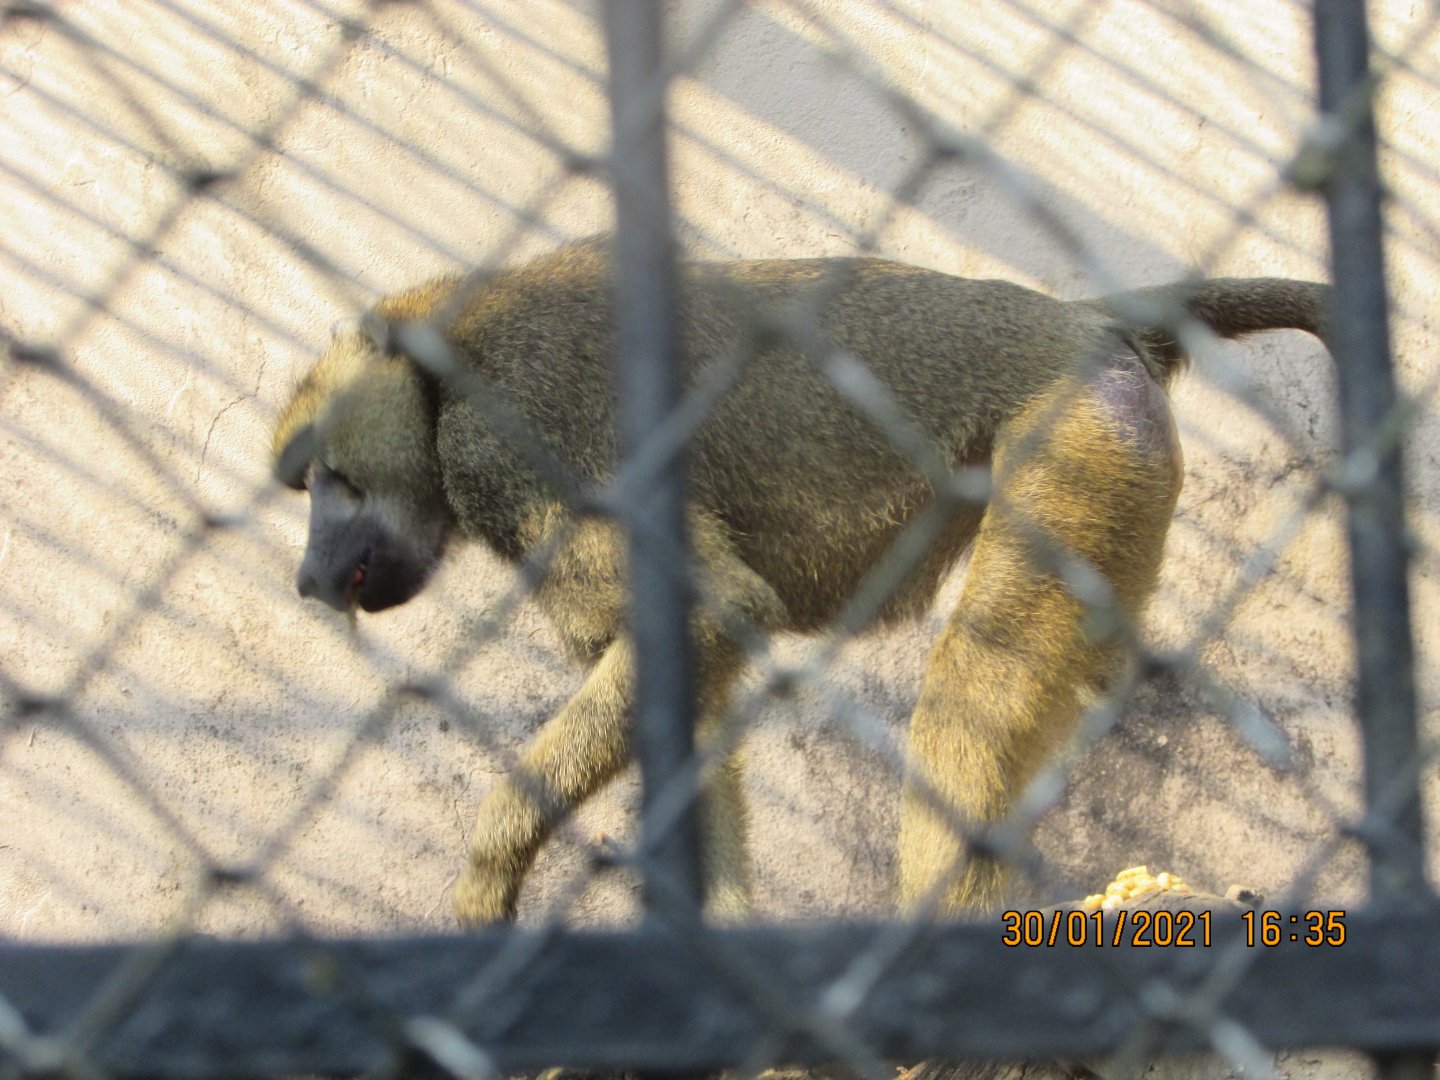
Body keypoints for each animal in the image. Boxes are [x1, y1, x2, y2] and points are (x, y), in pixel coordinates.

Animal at [270, 238, 1330, 926]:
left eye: (326, 476)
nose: (309, 575)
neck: (441, 365)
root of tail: (1077, 319)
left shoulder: (511, 444)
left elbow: (710, 620)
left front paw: (493, 876)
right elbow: (692, 684)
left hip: (1080, 431)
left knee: (974, 685)